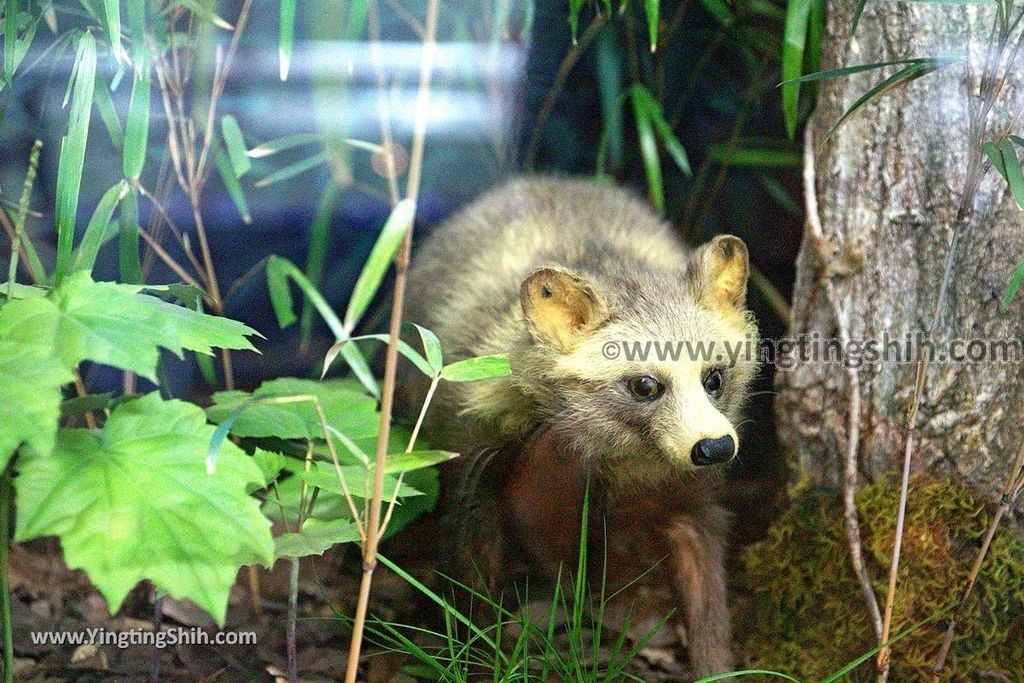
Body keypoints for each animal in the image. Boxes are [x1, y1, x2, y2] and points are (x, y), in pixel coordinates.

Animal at [395, 176, 757, 679]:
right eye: (645, 385)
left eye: (714, 378)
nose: (716, 448)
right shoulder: (479, 450)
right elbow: (470, 568)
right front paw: (477, 655)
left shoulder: (684, 488)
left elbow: (703, 571)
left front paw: (715, 663)